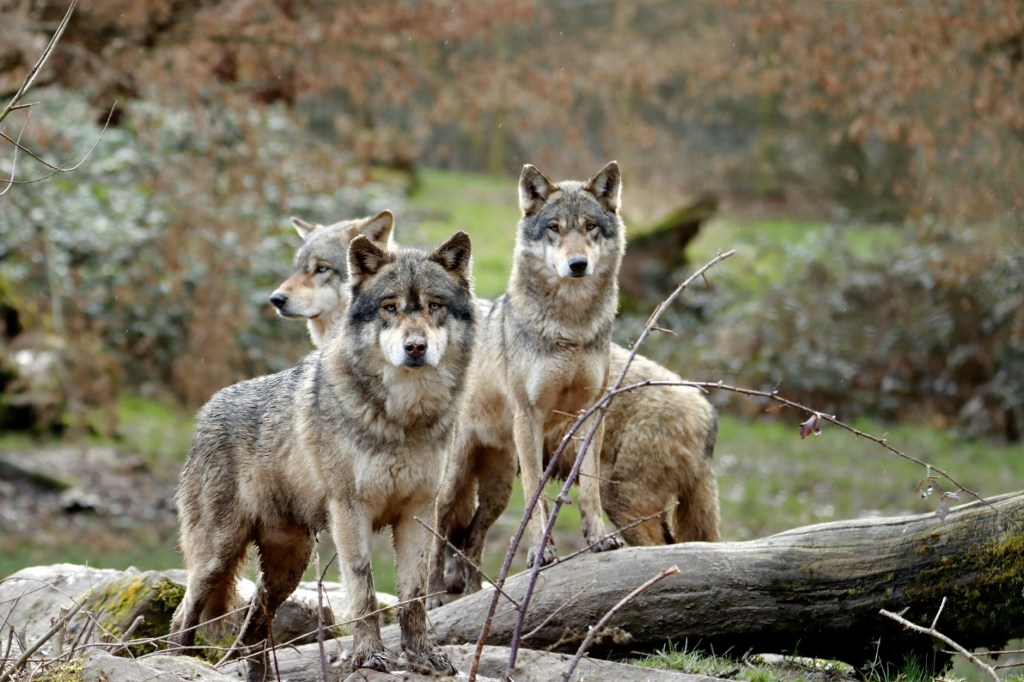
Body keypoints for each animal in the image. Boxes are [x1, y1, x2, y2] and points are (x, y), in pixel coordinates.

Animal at [169, 232, 475, 680]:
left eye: (434, 306)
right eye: (390, 308)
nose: (415, 348)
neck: (403, 417)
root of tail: (206, 410)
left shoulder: (419, 512)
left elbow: (414, 596)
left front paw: (422, 656)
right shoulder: (350, 511)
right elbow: (364, 591)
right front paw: (369, 655)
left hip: (288, 567)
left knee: (253, 629)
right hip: (216, 557)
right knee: (183, 616)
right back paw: (177, 661)